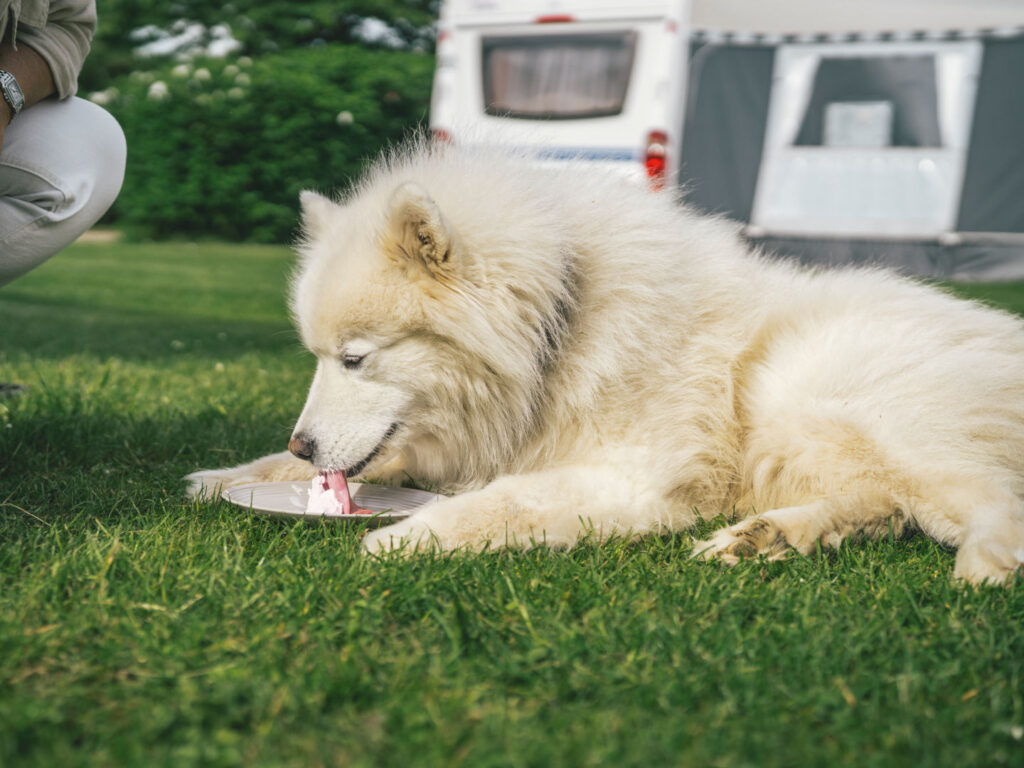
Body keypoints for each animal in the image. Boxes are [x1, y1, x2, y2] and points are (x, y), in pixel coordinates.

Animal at [188, 140, 1024, 581]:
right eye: (317, 357)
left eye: (356, 359)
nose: (304, 443)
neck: (561, 334)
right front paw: (228, 477)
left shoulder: (632, 475)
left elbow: (507, 501)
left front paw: (406, 536)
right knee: (884, 509)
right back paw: (767, 537)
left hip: (840, 403)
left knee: (988, 500)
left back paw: (986, 563)